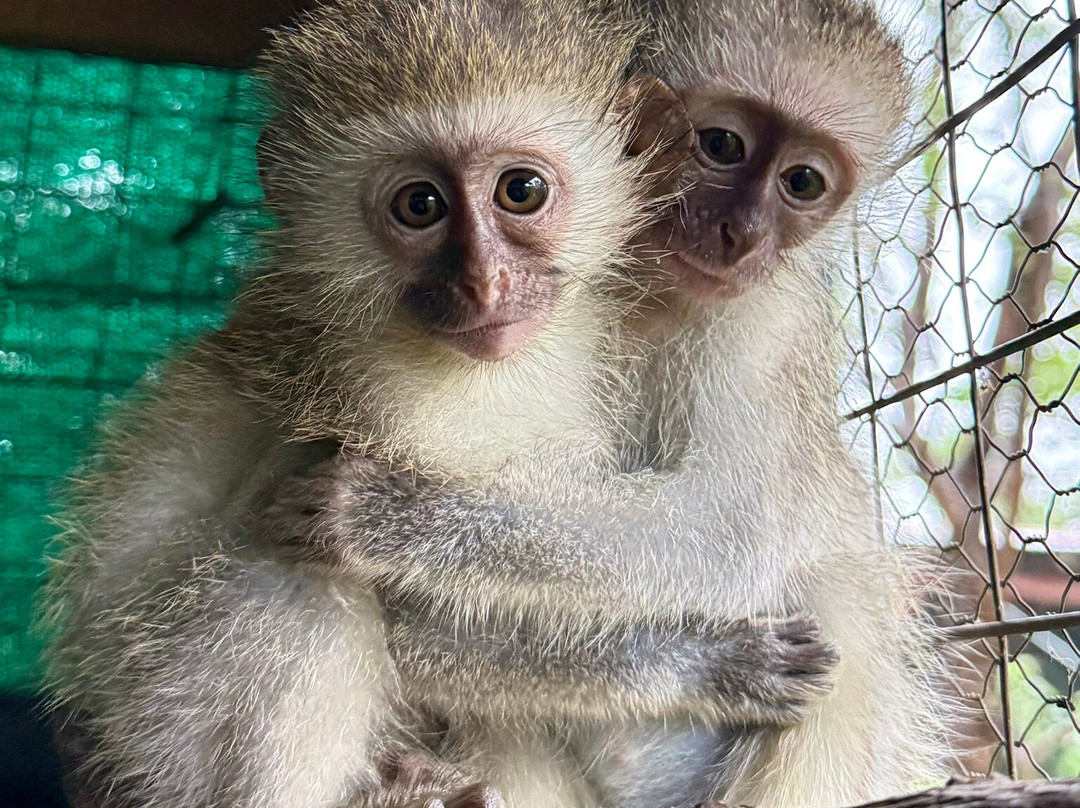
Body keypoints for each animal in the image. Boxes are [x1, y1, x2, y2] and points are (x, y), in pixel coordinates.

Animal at [40, 2, 842, 808]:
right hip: (159, 730)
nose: (484, 284)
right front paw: (703, 666)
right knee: (297, 583)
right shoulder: (387, 398)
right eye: (420, 205)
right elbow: (411, 618)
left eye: (521, 192)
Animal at [255, 1, 952, 807]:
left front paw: (389, 516)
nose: (741, 235)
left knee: (837, 589)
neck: (637, 294)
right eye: (720, 145)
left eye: (802, 181)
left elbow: (728, 527)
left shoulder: (760, 325)